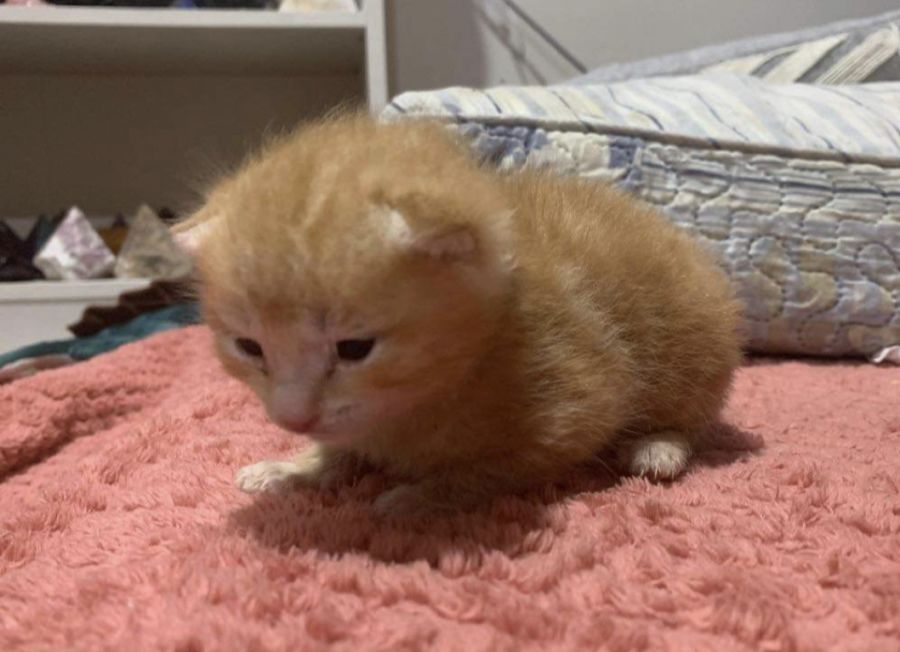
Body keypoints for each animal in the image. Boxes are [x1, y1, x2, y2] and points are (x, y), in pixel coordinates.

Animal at [172, 113, 743, 517]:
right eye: (249, 347)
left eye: (354, 349)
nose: (292, 419)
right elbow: (337, 453)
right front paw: (292, 469)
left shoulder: (573, 413)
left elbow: (485, 472)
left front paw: (416, 498)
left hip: (697, 350)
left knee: (693, 416)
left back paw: (659, 448)